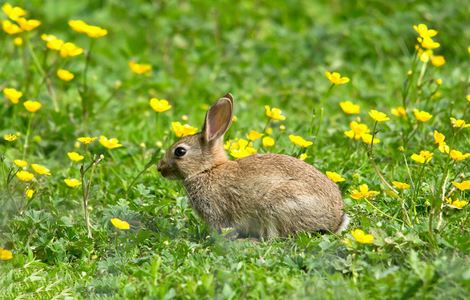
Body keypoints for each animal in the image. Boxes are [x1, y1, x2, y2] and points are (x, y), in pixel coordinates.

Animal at [158, 94, 348, 239]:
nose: (160, 169)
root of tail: (336, 220)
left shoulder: (218, 212)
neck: (207, 169)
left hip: (278, 206)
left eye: (180, 151)